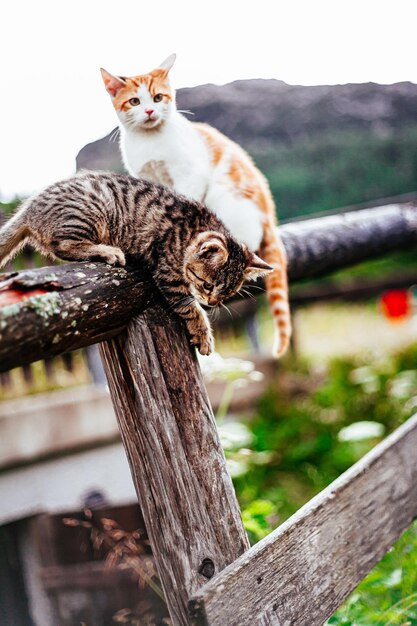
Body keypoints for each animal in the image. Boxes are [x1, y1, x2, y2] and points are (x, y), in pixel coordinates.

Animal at [0, 171, 272, 354]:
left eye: (226, 294)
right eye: (207, 285)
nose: (213, 302)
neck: (193, 230)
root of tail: (30, 208)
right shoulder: (168, 275)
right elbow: (190, 307)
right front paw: (203, 334)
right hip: (89, 211)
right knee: (64, 245)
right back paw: (108, 252)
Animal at [100, 53, 290, 356]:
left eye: (158, 97)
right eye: (134, 102)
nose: (150, 112)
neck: (150, 142)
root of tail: (269, 216)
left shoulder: (190, 174)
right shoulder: (145, 176)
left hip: (229, 198)